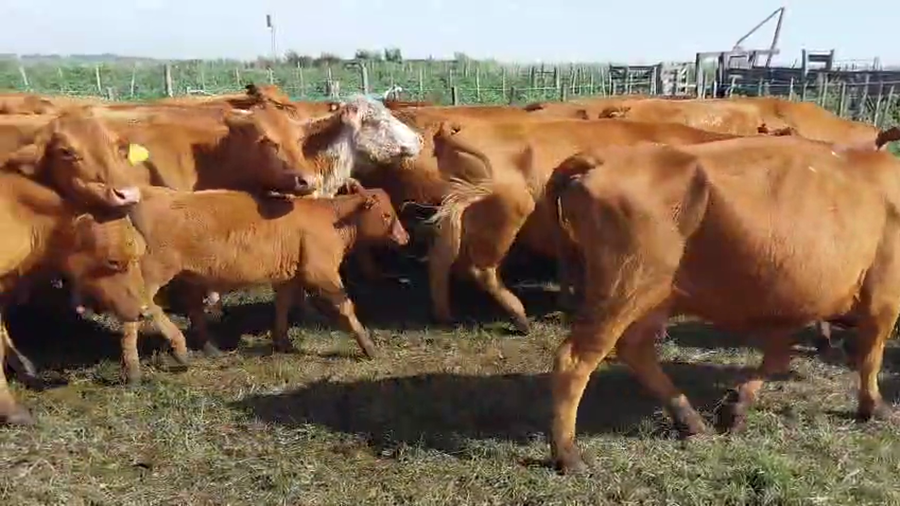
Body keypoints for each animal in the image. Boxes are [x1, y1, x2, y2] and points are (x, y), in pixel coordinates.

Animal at [112, 186, 409, 383]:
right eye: (386, 215)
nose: (405, 237)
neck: (332, 219)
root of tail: (147, 194)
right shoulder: (321, 273)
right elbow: (347, 307)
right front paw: (368, 346)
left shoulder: (289, 277)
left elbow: (282, 306)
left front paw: (283, 341)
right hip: (151, 273)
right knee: (137, 313)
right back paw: (145, 363)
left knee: (186, 308)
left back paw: (206, 348)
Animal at [546, 136, 900, 475]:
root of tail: (602, 157)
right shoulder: (885, 295)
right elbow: (871, 355)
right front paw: (875, 406)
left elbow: (777, 356)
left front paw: (736, 406)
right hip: (626, 287)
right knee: (574, 359)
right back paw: (568, 455)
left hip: (653, 293)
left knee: (635, 350)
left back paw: (689, 420)